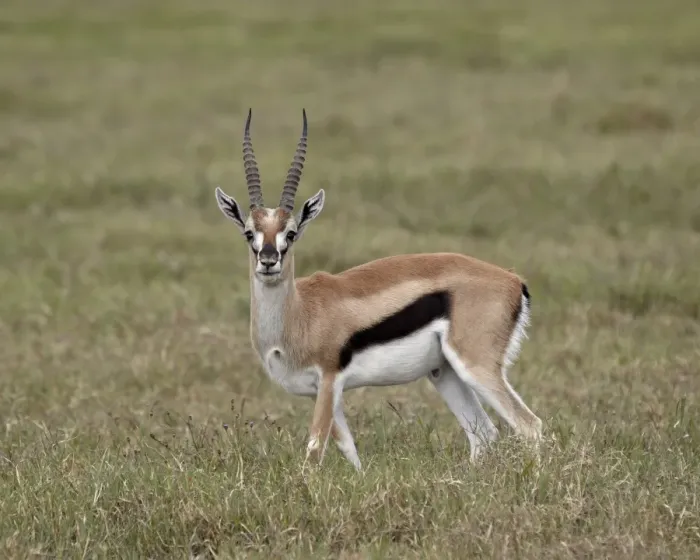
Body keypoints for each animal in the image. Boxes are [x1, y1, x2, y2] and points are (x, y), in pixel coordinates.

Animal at [214, 109, 543, 471]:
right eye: (249, 233)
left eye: (291, 232)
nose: (269, 260)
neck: (300, 313)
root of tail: (512, 280)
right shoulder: (320, 391)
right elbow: (349, 450)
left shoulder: (329, 380)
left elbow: (314, 451)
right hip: (445, 372)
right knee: (483, 433)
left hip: (476, 366)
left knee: (530, 425)